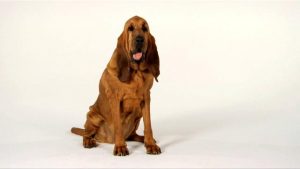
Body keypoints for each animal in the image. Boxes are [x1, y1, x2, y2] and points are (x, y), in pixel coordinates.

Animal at [71, 15, 162, 156]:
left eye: (145, 29)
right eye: (130, 28)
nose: (140, 39)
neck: (135, 72)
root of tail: (104, 140)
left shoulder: (146, 99)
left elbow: (148, 125)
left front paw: (150, 144)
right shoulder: (115, 99)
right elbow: (118, 126)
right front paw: (120, 147)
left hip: (138, 113)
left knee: (132, 135)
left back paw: (144, 139)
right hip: (93, 115)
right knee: (86, 134)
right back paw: (89, 142)